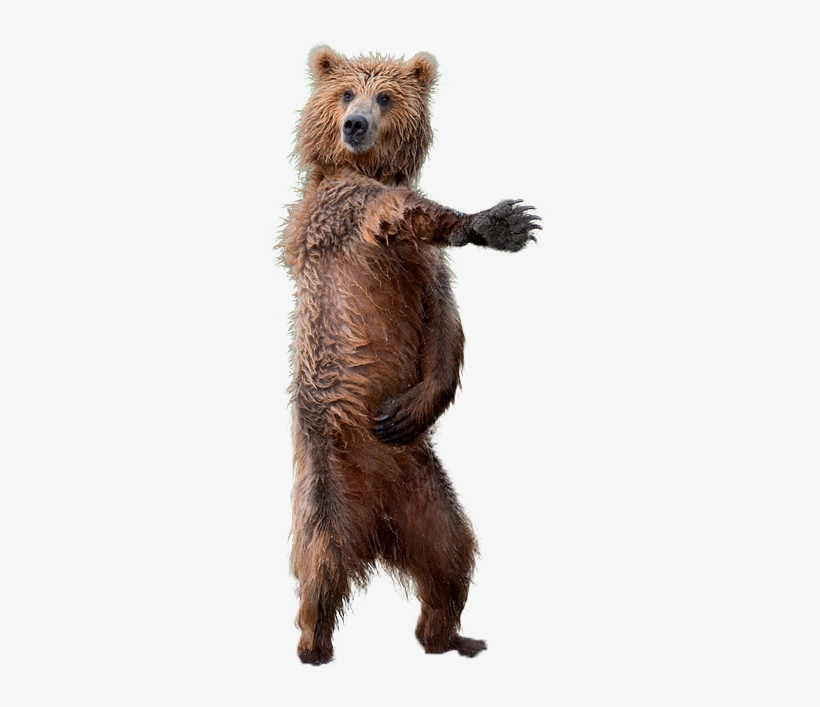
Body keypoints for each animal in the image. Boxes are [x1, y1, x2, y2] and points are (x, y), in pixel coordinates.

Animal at [279, 46, 540, 665]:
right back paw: (313, 645)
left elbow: (447, 329)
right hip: (326, 482)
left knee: (453, 555)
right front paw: (492, 221)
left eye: (385, 96)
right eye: (346, 93)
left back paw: (450, 637)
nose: (355, 126)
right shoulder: (347, 214)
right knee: (320, 562)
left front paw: (408, 408)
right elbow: (400, 213)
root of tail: (377, 529)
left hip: (426, 489)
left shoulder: (426, 274)